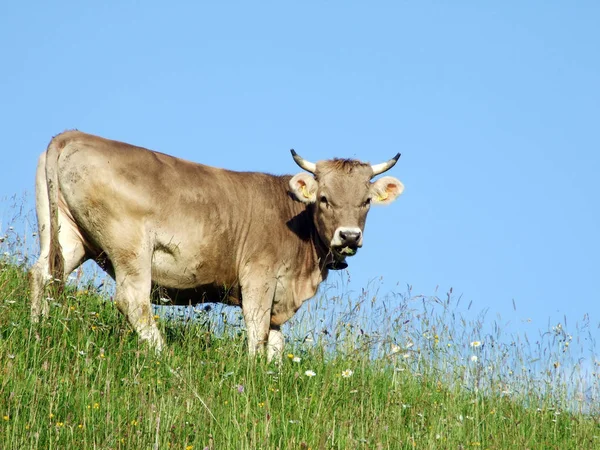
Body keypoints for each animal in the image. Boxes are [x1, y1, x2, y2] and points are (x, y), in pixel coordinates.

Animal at [29, 129, 404, 358]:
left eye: (366, 201)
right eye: (324, 198)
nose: (349, 236)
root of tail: (75, 135)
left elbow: (276, 340)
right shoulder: (258, 276)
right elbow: (257, 329)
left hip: (65, 234)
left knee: (41, 274)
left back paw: (36, 327)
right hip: (130, 247)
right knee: (132, 300)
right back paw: (165, 356)